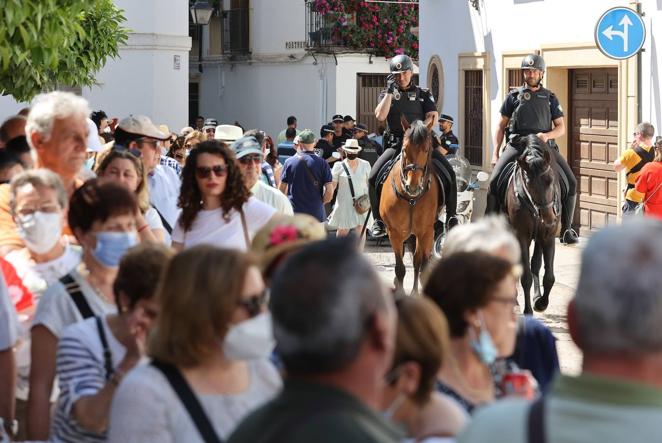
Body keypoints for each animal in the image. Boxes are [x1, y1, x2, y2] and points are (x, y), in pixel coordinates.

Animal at [378, 119, 440, 296]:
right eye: (404, 149)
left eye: (426, 149)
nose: (412, 186)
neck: (412, 199)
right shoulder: (395, 233)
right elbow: (400, 268)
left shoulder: (426, 231)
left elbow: (422, 265)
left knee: (418, 261)